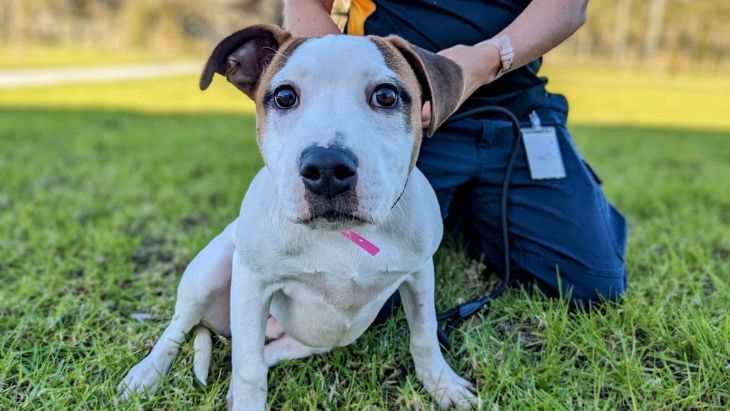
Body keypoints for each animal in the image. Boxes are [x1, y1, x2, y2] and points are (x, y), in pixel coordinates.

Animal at [118, 25, 472, 408]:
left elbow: (425, 334)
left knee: (264, 352)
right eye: (285, 96)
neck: (342, 236)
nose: (327, 168)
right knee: (182, 328)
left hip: (320, 339)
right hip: (210, 270)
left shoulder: (420, 273)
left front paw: (442, 384)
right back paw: (147, 373)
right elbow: (248, 368)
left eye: (386, 95)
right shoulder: (252, 283)